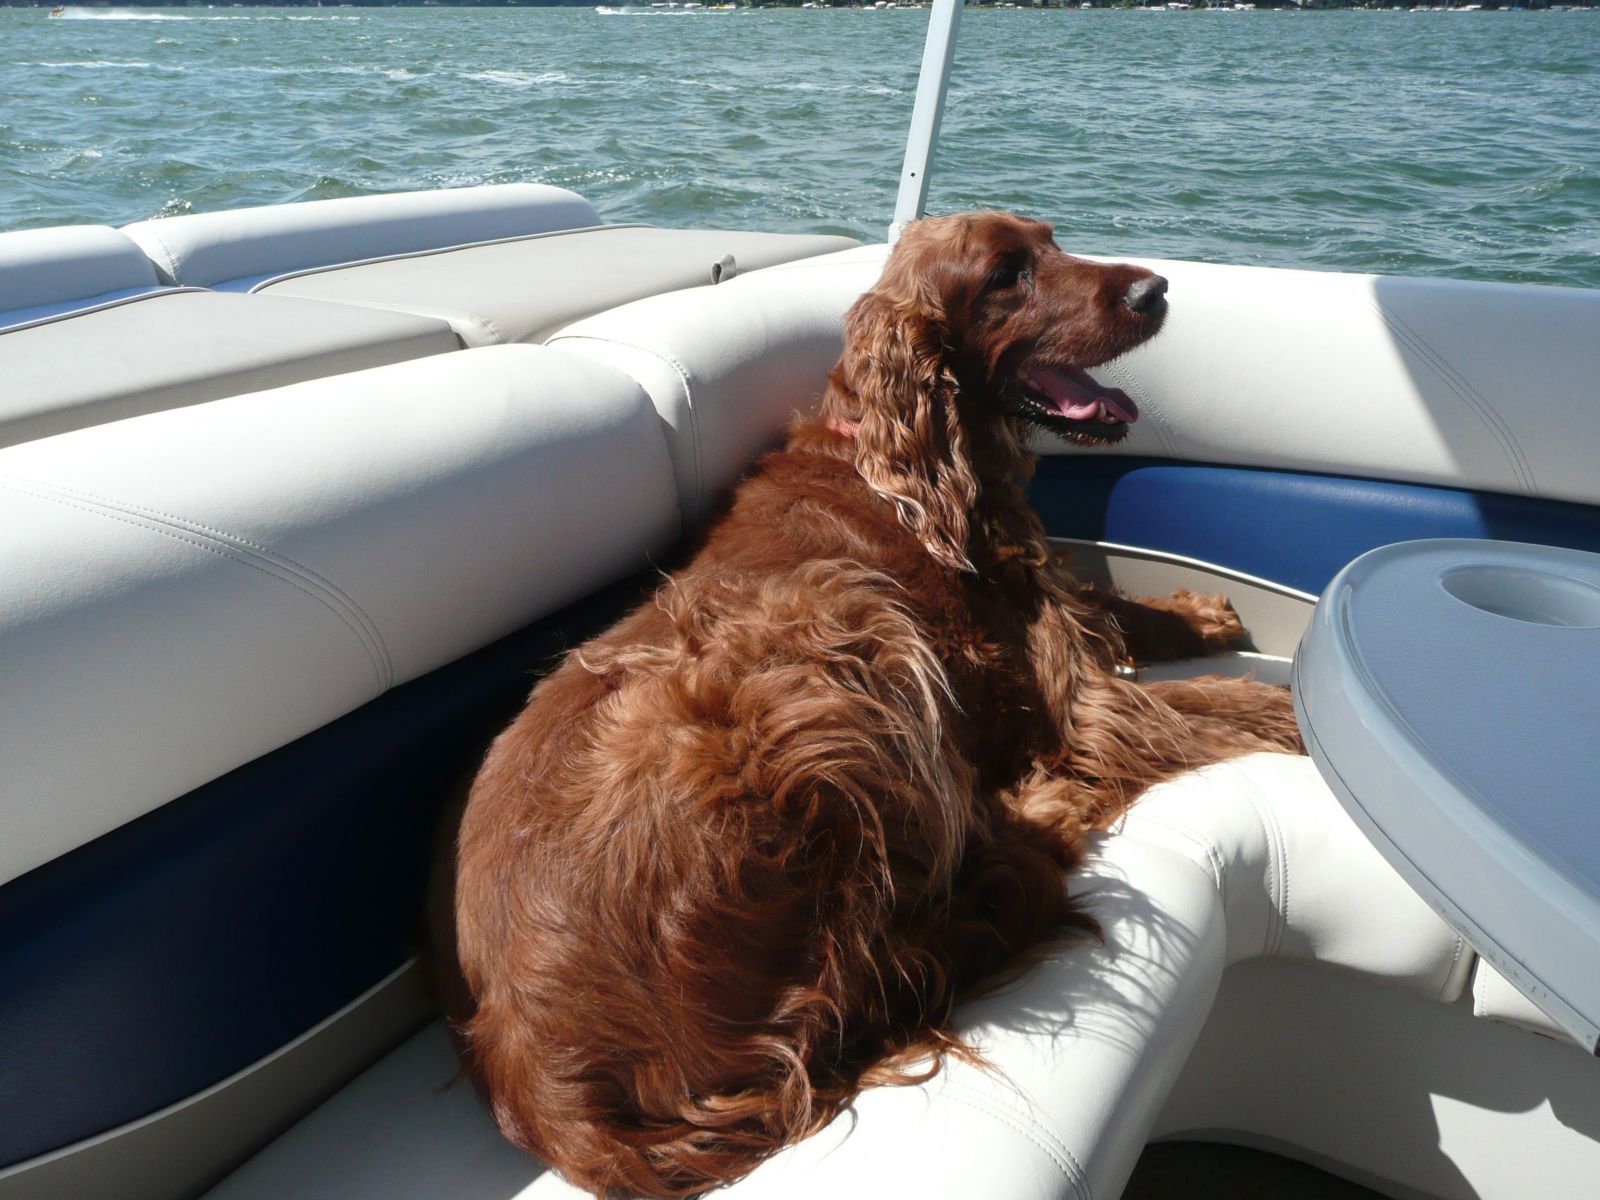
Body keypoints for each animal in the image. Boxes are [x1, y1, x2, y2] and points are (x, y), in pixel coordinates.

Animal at [451, 211, 1299, 1196]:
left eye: (1051, 239)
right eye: (1005, 274)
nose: (1154, 290)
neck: (913, 465)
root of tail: (545, 1089)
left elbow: (1113, 608)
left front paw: (1199, 612)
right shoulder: (1085, 702)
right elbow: (1213, 702)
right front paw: (1297, 713)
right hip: (830, 633)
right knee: (888, 963)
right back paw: (1038, 809)